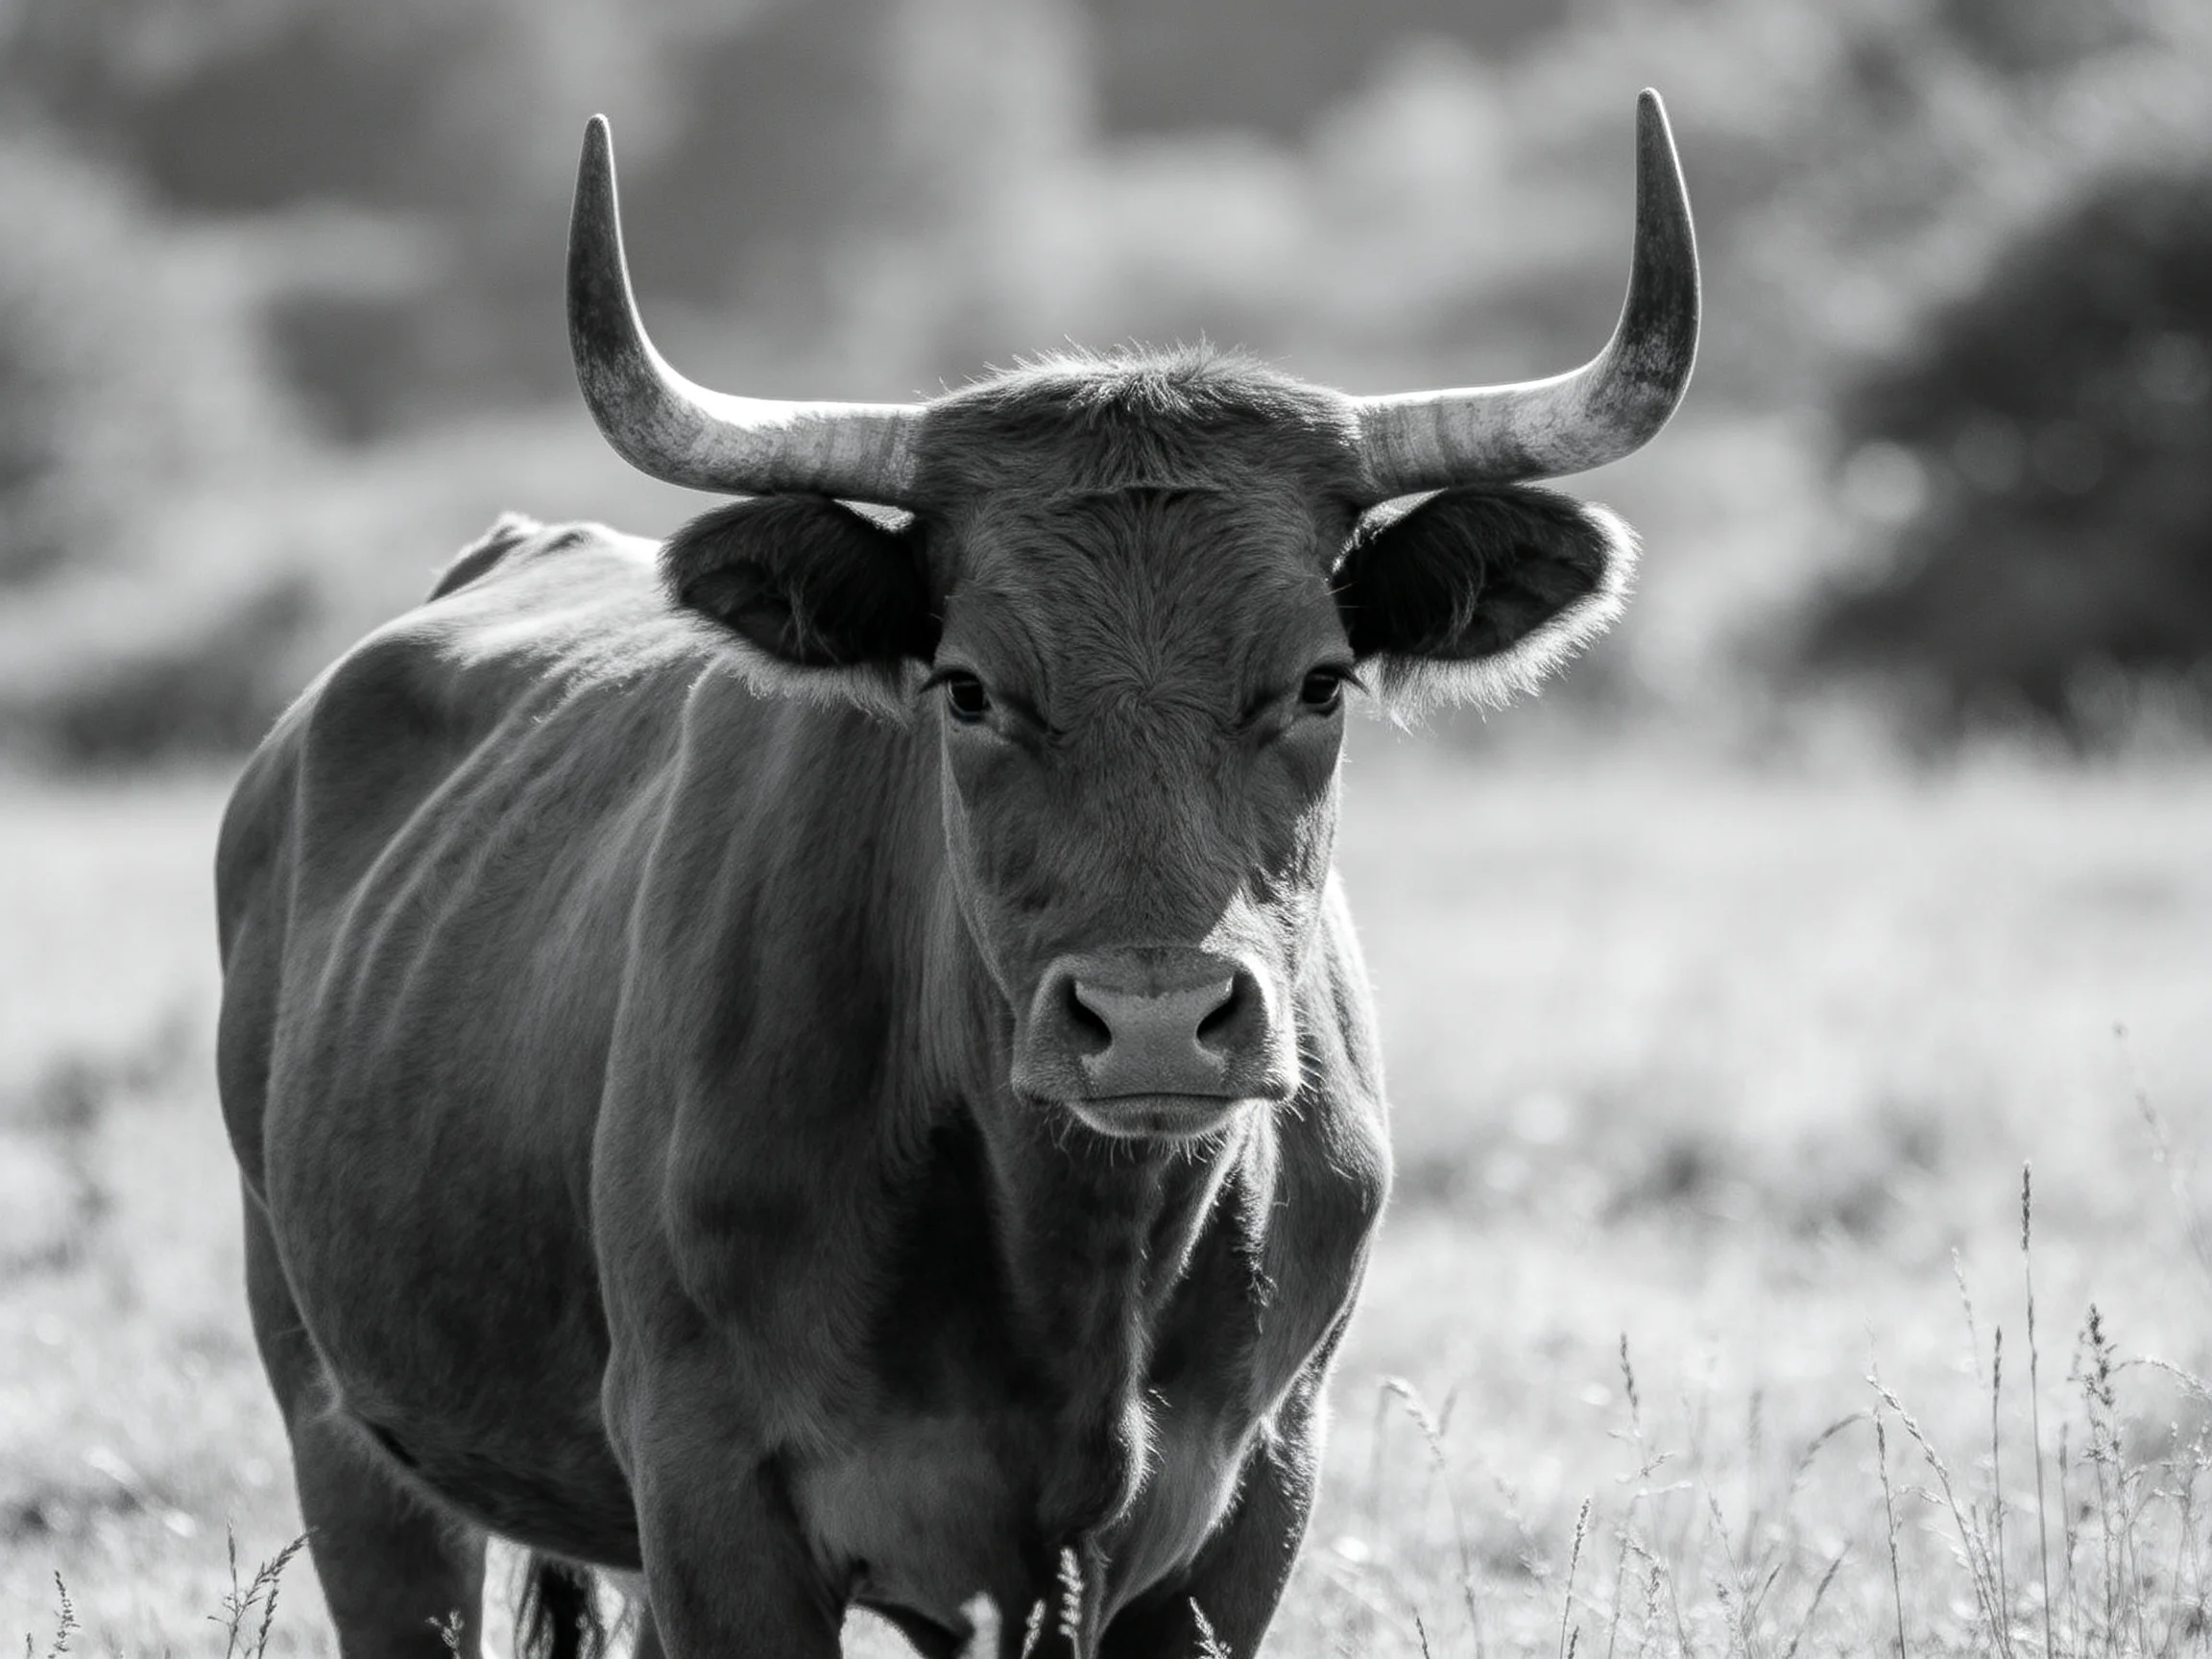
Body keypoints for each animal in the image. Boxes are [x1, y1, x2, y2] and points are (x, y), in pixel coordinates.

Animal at [214, 93, 1697, 1659]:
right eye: (970, 688)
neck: (1076, 1269)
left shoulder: (1252, 1497)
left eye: (1320, 680)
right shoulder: (708, 1494)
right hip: (347, 1441)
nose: (1156, 1018)